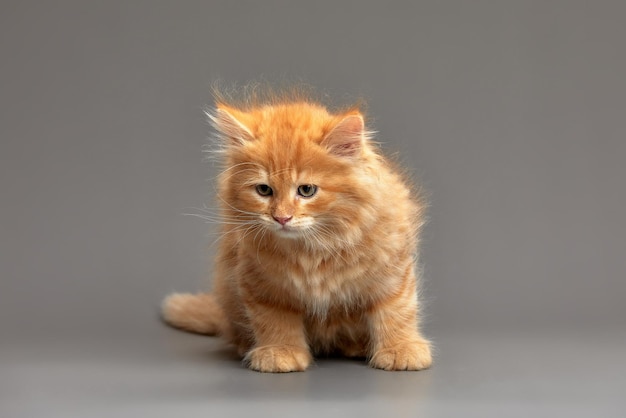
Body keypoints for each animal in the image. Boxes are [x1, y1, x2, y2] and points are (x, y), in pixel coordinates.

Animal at [163, 88, 432, 372]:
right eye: (264, 190)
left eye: (306, 190)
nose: (282, 217)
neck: (313, 249)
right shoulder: (260, 282)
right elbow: (274, 319)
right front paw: (280, 351)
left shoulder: (392, 269)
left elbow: (396, 309)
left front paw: (401, 348)